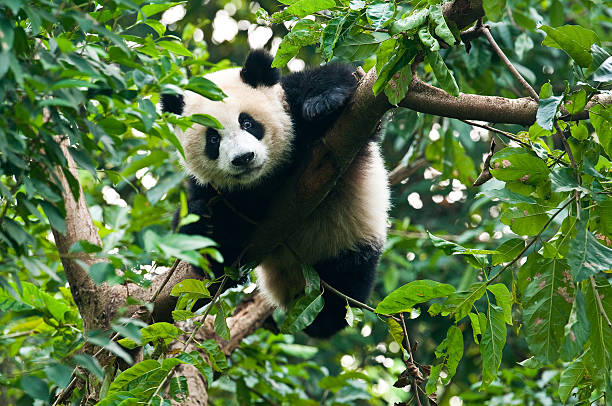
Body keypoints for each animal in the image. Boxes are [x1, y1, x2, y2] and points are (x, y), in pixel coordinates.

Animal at [163, 50, 390, 336]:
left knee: (344, 286)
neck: (267, 177)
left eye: (247, 122)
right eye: (213, 139)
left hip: (349, 241)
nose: (243, 158)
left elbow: (338, 79)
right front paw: (204, 222)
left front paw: (323, 102)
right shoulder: (214, 189)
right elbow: (213, 248)